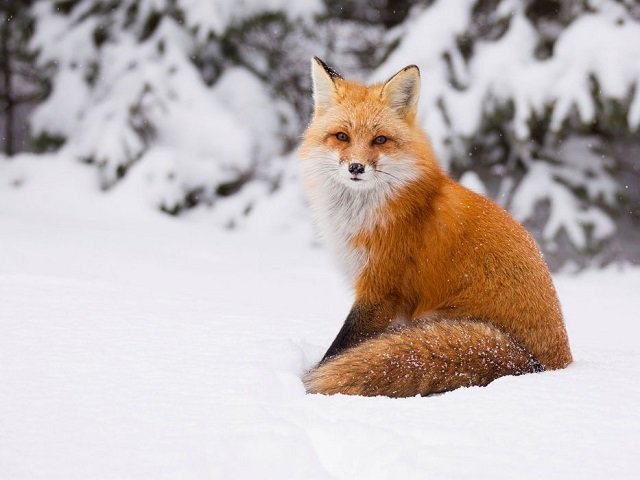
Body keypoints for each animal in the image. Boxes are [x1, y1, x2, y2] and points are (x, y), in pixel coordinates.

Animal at [300, 58, 576, 398]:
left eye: (380, 140)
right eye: (341, 136)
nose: (356, 167)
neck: (365, 212)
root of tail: (543, 365)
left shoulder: (381, 288)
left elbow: (340, 347)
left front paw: (312, 376)